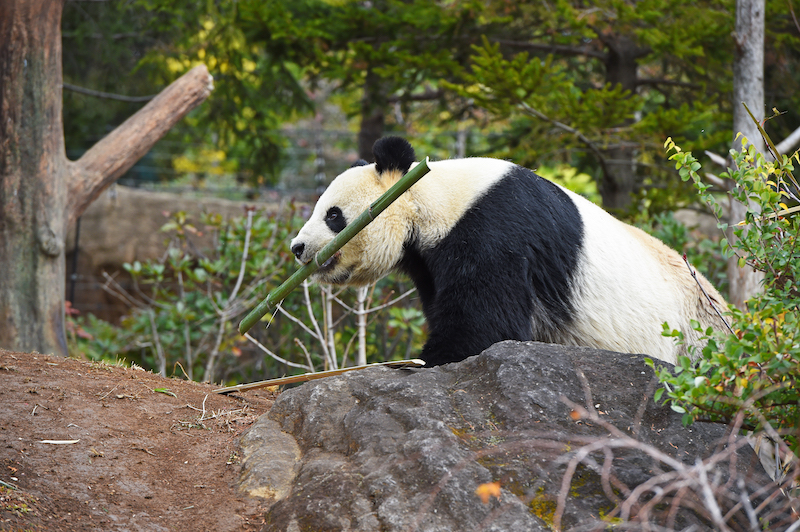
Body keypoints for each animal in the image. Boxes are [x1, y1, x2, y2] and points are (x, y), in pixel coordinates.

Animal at [290, 136, 728, 366]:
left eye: (333, 215)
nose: (297, 247)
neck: (431, 198)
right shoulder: (429, 263)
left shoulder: (496, 228)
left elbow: (487, 320)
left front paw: (433, 357)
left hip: (695, 336)